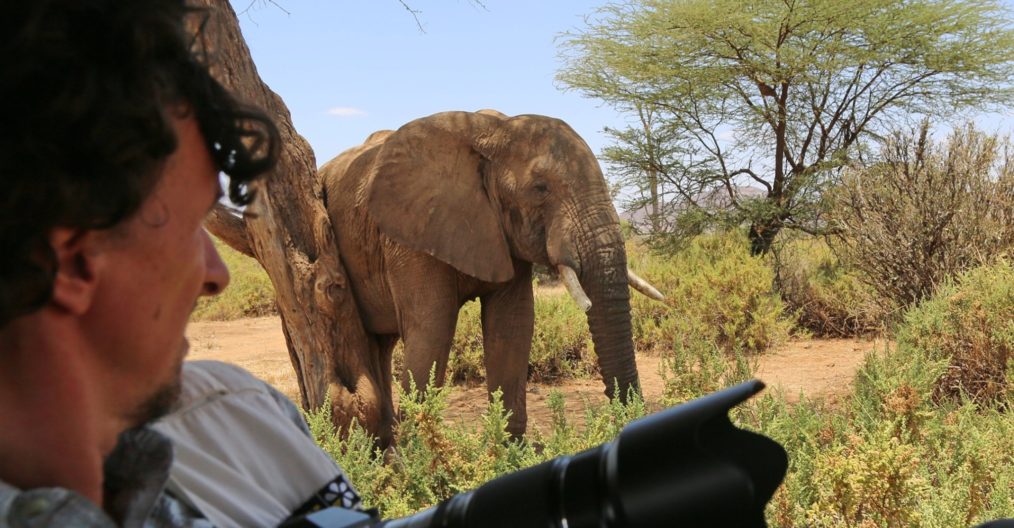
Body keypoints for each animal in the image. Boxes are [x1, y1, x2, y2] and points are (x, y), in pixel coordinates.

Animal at [320, 109, 661, 443]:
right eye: (540, 188)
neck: (496, 130)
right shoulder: (409, 234)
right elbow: (433, 326)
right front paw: (420, 452)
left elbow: (512, 324)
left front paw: (510, 448)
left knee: (383, 345)